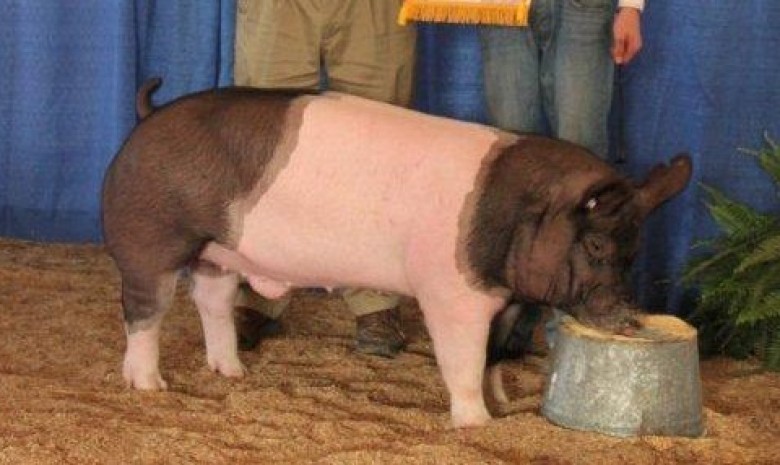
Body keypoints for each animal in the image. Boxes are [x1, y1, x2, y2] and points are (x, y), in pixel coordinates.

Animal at [100, 77, 692, 428]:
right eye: (594, 243)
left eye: (635, 250)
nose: (630, 319)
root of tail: (147, 117)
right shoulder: (452, 294)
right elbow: (463, 360)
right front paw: (475, 424)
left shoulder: (507, 300)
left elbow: (495, 357)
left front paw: (503, 408)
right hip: (149, 238)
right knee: (144, 312)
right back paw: (150, 386)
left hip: (219, 252)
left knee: (213, 303)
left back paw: (232, 374)